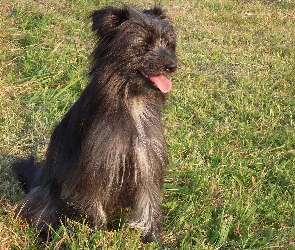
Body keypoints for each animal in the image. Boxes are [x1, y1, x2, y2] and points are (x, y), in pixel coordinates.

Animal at [12, 3, 177, 244]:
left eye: (168, 43)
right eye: (144, 45)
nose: (172, 66)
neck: (131, 99)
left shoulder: (147, 160)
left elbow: (150, 202)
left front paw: (153, 237)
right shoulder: (97, 165)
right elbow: (94, 205)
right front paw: (98, 234)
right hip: (48, 190)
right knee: (41, 210)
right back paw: (47, 236)